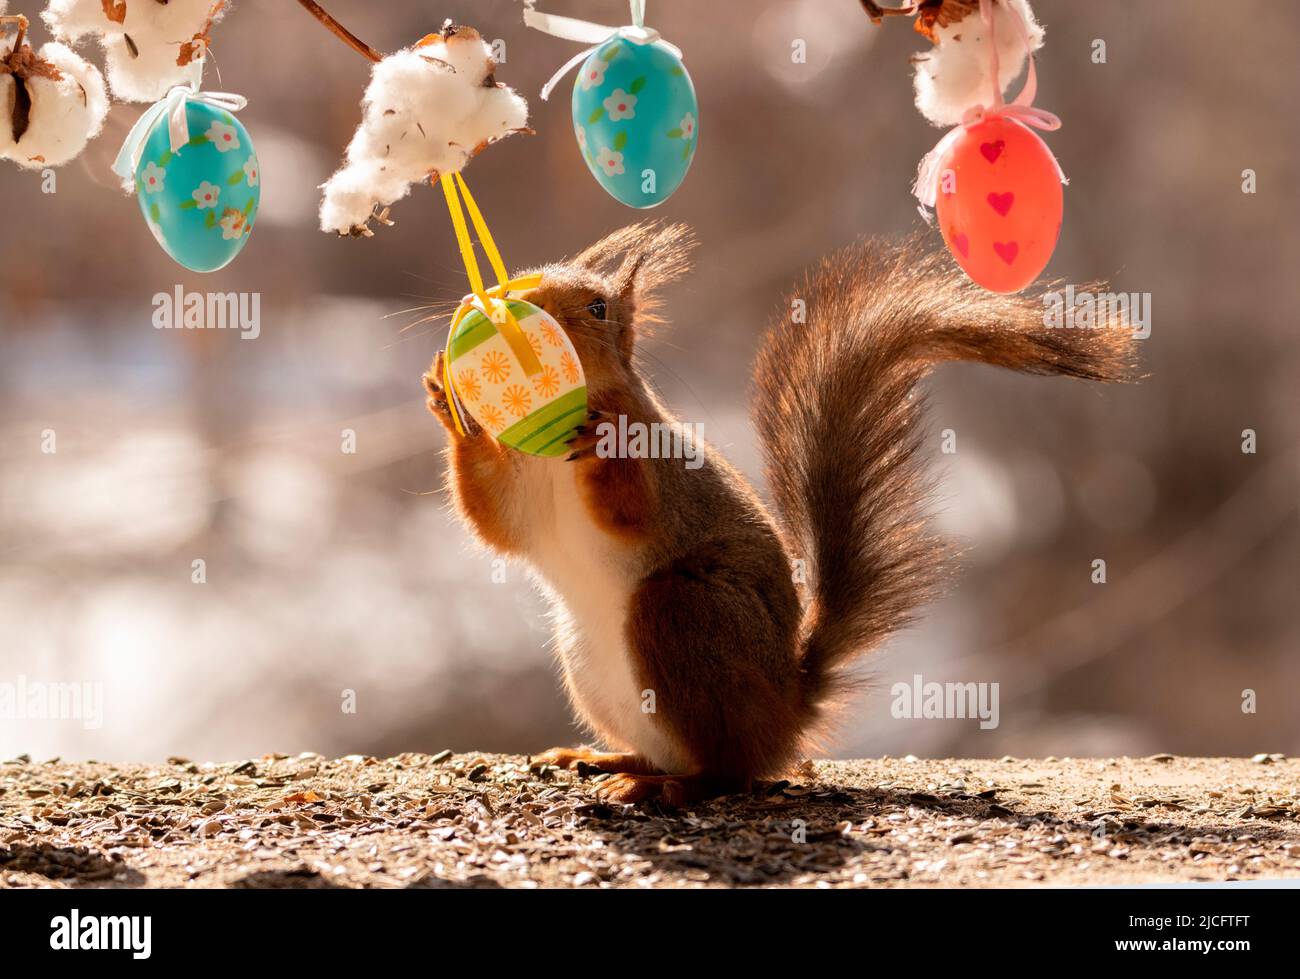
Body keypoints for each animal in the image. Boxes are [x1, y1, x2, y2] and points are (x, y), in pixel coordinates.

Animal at [423, 224, 1128, 806]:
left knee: (732, 769)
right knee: (672, 751)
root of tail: (787, 708)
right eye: (520, 277)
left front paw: (604, 440)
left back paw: (669, 787)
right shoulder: (525, 492)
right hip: (590, 665)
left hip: (682, 614)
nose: (506, 307)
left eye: (597, 309)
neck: (556, 452)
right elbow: (495, 520)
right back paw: (606, 760)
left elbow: (632, 511)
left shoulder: (665, 479)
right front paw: (447, 400)